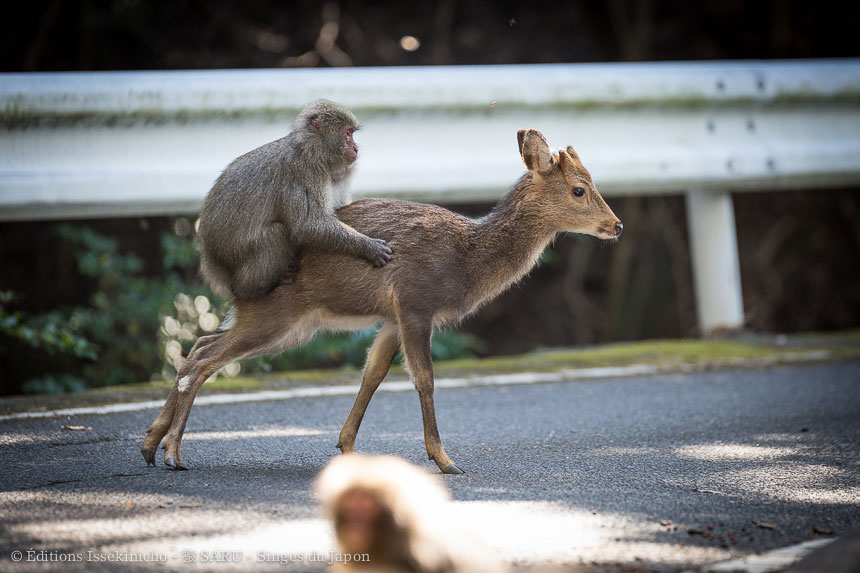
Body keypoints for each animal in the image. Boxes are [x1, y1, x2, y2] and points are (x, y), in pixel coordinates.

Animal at [144, 127, 620, 472]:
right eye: (579, 189)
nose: (615, 225)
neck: (465, 260)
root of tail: (232, 278)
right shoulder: (415, 301)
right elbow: (424, 378)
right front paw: (445, 460)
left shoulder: (391, 317)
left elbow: (371, 374)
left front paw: (348, 448)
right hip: (277, 313)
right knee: (204, 359)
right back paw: (174, 454)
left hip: (288, 324)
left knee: (198, 347)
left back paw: (151, 444)